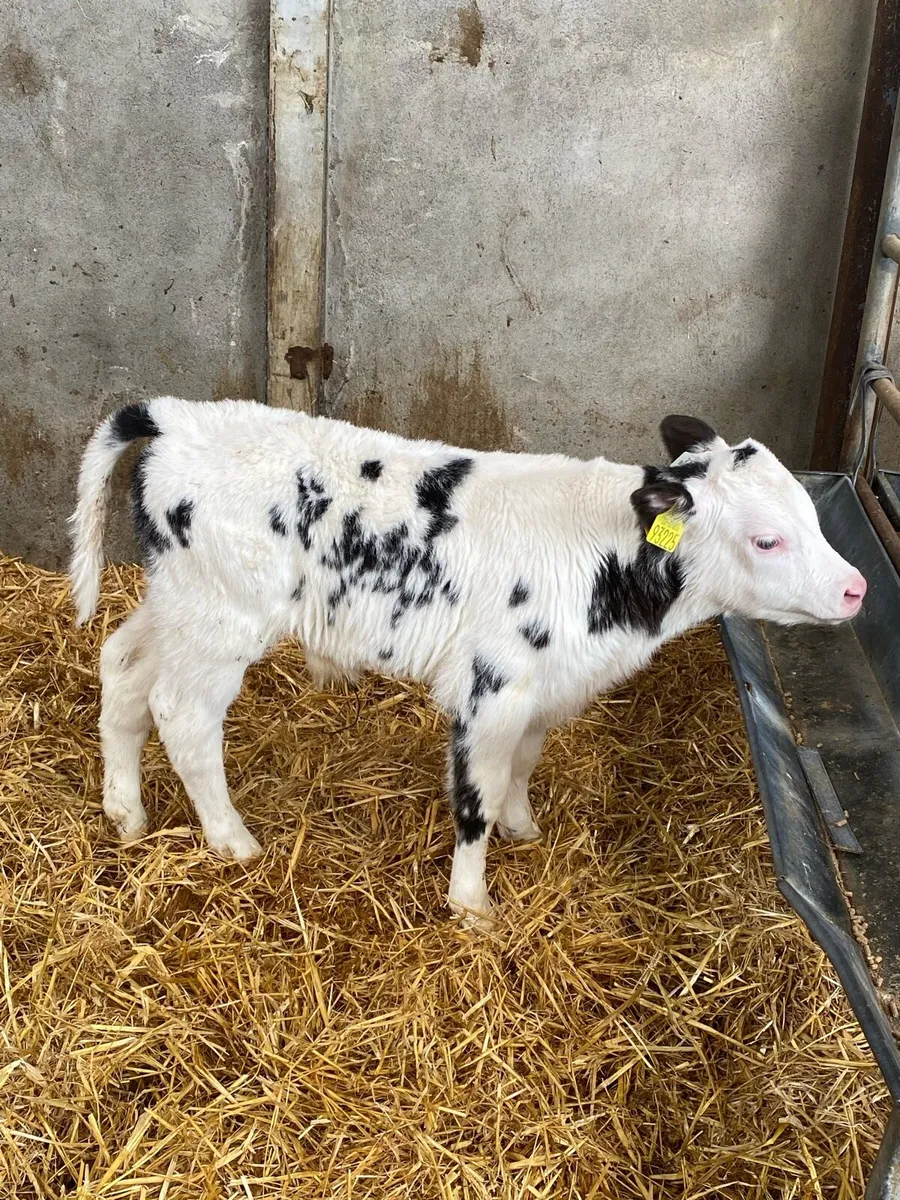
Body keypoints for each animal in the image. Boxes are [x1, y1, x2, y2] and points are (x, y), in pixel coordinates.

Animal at [69, 398, 866, 928]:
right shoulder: (493, 687)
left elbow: (521, 766)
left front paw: (525, 828)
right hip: (223, 617)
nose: (856, 587)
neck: (606, 564)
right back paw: (233, 840)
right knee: (183, 715)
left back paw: (126, 813)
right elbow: (474, 799)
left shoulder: (544, 690)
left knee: (123, 667)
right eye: (767, 539)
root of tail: (175, 415)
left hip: (180, 601)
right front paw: (473, 904)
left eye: (810, 512)